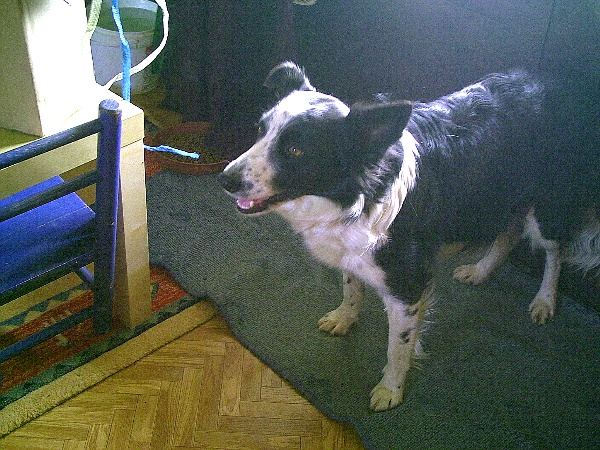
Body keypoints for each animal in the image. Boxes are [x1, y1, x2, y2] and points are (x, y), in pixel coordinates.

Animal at [218, 62, 600, 411]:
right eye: (260, 131)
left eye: (296, 150)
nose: (225, 179)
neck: (361, 194)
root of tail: (565, 83)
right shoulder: (355, 253)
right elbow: (351, 286)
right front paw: (345, 317)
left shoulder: (407, 284)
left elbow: (397, 347)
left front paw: (391, 389)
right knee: (508, 232)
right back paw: (480, 270)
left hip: (549, 206)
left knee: (554, 252)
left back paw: (545, 300)